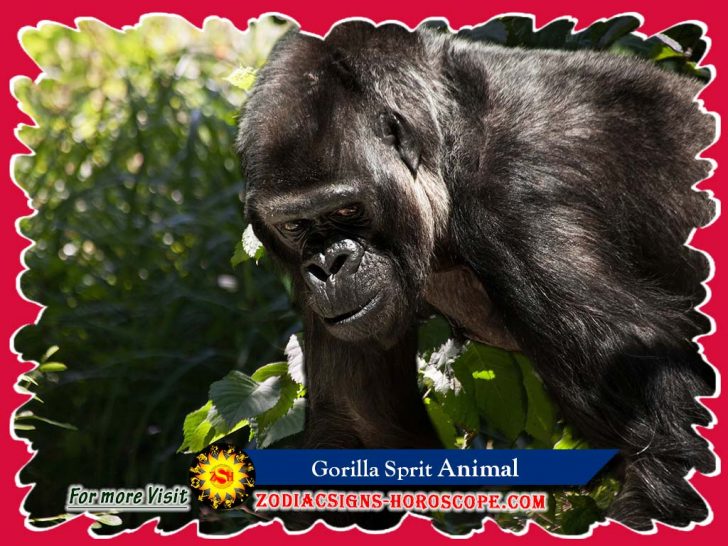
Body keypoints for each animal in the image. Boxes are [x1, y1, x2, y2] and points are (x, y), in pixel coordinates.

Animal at [236, 21, 716, 531]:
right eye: (294, 226)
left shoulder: (515, 197)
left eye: (347, 209)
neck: (447, 142)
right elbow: (356, 426)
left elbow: (673, 420)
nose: (327, 267)